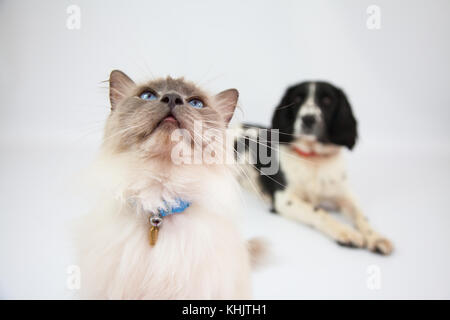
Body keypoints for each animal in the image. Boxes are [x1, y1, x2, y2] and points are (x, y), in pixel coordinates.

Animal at [236, 80, 394, 255]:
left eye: (327, 100)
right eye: (297, 99)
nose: (308, 119)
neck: (314, 159)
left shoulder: (345, 195)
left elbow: (360, 215)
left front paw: (376, 237)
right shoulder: (284, 199)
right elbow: (318, 211)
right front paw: (345, 231)